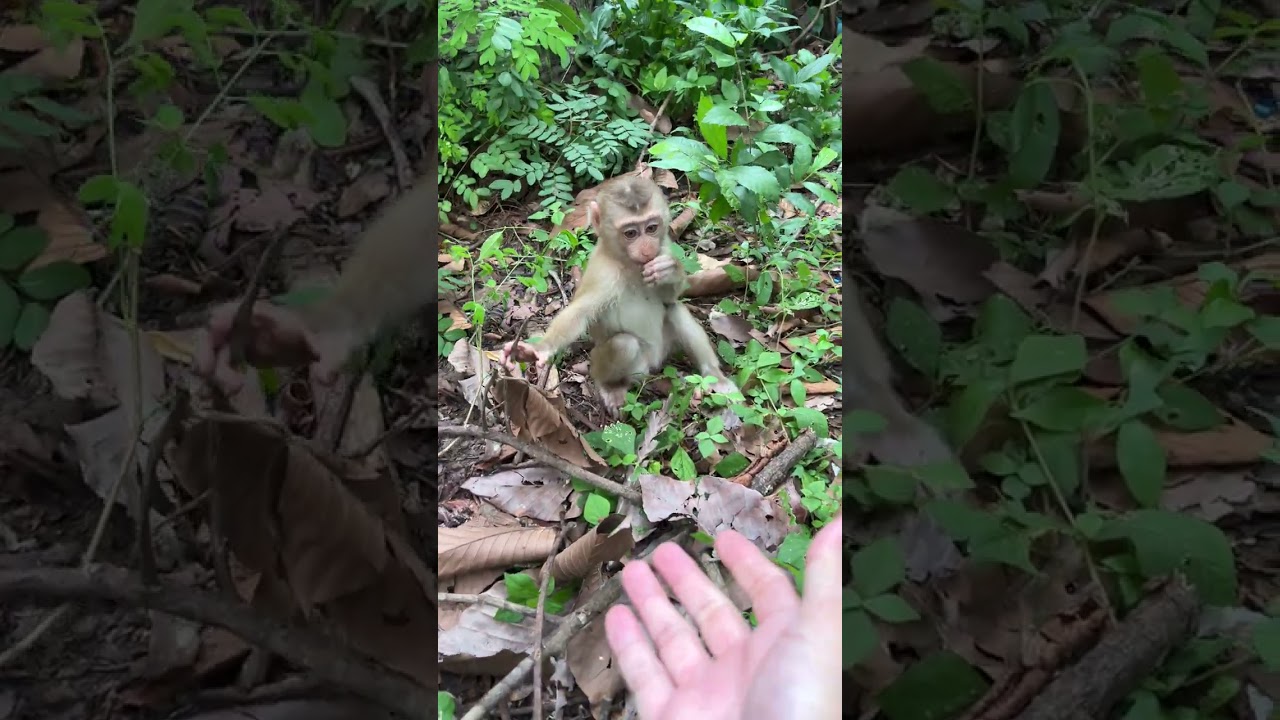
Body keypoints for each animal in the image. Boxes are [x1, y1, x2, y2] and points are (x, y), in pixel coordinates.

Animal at [503, 175, 737, 416]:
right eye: (630, 233)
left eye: (652, 228)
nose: (646, 249)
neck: (628, 264)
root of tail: (654, 362)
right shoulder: (604, 276)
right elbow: (579, 314)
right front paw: (538, 348)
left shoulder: (662, 250)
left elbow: (668, 298)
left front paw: (670, 271)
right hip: (631, 368)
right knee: (624, 344)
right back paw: (611, 386)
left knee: (674, 310)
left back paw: (714, 376)